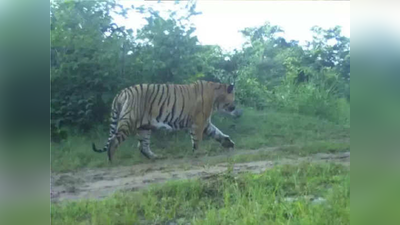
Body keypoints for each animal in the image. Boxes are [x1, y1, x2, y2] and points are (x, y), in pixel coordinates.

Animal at [92, 81, 239, 162]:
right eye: (234, 97)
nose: (235, 107)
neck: (216, 97)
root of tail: (122, 92)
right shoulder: (199, 122)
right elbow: (197, 139)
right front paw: (199, 152)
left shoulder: (205, 122)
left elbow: (217, 133)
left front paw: (228, 143)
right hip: (129, 121)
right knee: (114, 140)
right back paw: (111, 159)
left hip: (144, 127)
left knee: (143, 146)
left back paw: (155, 157)